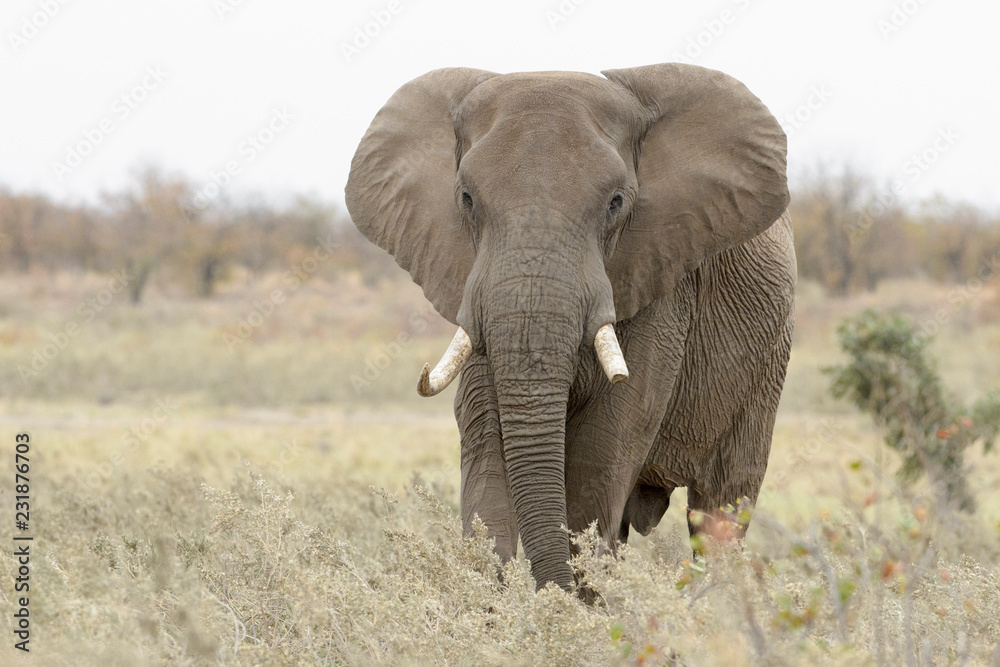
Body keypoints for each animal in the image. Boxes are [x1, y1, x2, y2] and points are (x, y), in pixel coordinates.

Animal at [346, 63, 795, 592]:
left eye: (616, 203)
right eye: (467, 199)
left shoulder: (661, 284)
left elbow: (600, 455)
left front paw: (571, 602)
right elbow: (486, 453)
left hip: (767, 365)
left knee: (720, 509)